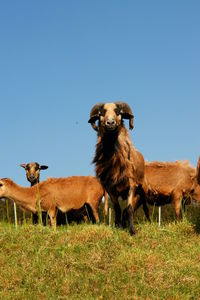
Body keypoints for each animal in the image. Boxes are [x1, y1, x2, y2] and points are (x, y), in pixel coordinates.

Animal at [88, 101, 148, 234]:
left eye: (118, 111)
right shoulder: (111, 188)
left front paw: (132, 231)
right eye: (101, 113)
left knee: (144, 208)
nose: (110, 122)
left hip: (142, 191)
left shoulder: (131, 185)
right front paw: (117, 226)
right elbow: (117, 209)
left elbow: (129, 208)